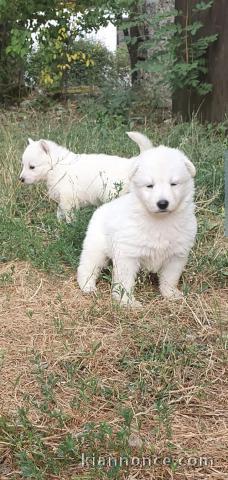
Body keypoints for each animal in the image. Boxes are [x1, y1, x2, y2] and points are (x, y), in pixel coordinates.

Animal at [19, 135, 148, 223]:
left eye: (32, 167)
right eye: (23, 165)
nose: (21, 179)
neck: (56, 165)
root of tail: (132, 164)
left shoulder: (68, 196)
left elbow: (68, 212)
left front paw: (69, 224)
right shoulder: (63, 197)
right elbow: (60, 210)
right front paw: (60, 222)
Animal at [77, 134, 197, 308]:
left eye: (174, 184)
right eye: (149, 185)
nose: (162, 203)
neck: (159, 221)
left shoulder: (177, 255)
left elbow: (170, 278)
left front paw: (170, 294)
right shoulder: (128, 254)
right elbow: (125, 282)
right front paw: (126, 301)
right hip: (95, 247)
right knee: (87, 266)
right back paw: (87, 286)